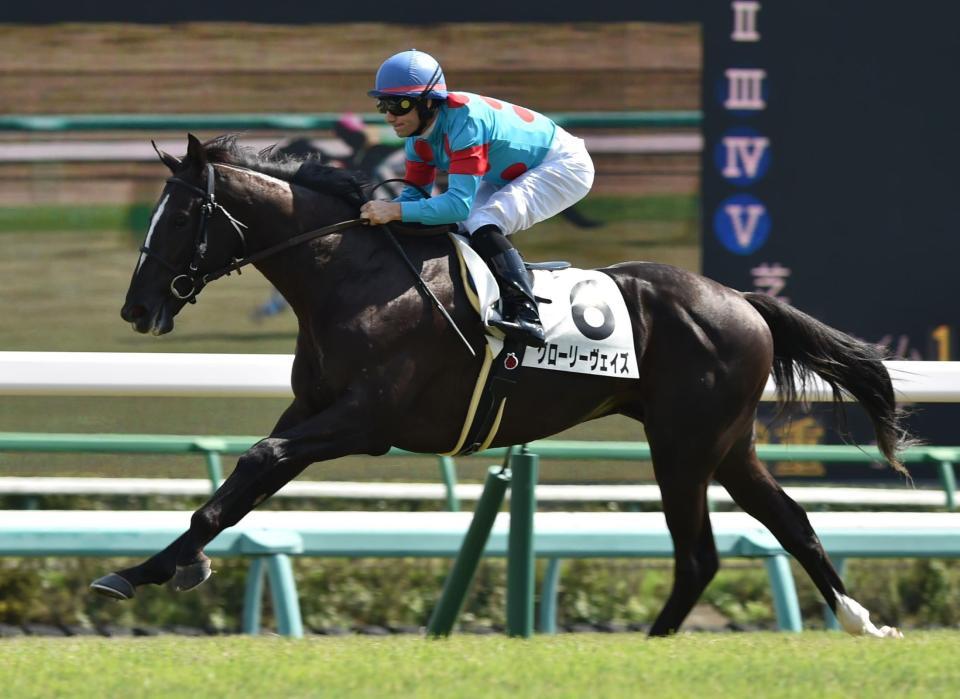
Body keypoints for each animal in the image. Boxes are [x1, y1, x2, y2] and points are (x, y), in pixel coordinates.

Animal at [96, 133, 911, 638]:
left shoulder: (365, 423)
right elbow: (244, 482)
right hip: (726, 443)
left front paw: (161, 566)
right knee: (790, 521)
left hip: (684, 446)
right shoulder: (316, 408)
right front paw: (150, 567)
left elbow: (258, 461)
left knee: (700, 554)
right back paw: (860, 620)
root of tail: (742, 300)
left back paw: (654, 643)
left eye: (183, 216)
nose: (135, 307)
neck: (352, 276)